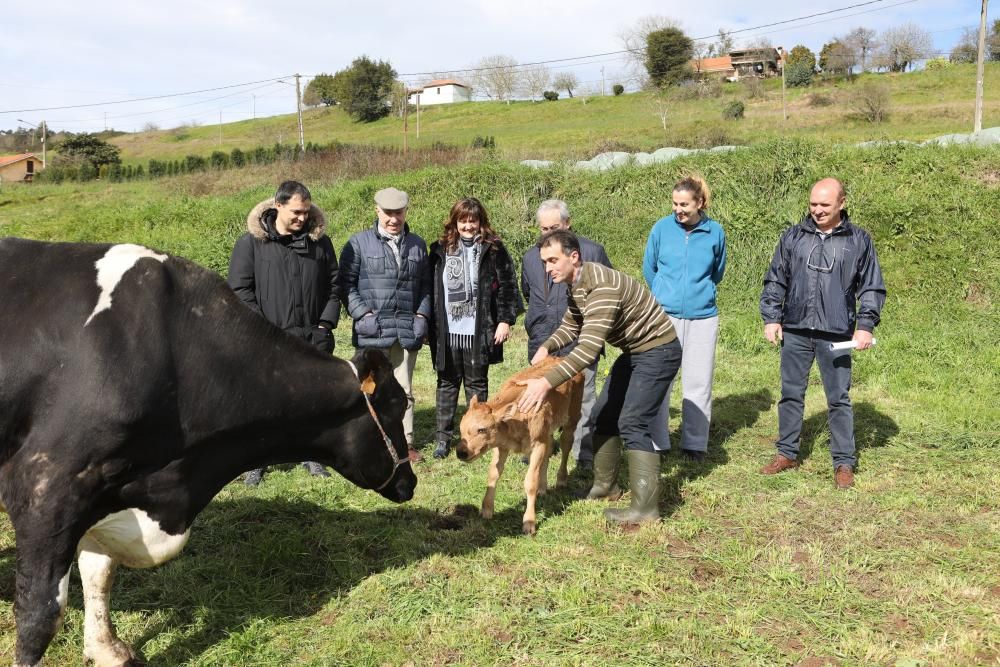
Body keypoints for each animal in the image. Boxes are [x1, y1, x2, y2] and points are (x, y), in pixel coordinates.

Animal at [0, 240, 416, 667]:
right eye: (397, 405)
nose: (410, 481)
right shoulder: (47, 484)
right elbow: (40, 614)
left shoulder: (104, 490)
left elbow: (99, 571)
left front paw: (107, 649)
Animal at [456, 358, 584, 536]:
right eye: (461, 428)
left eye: (482, 429)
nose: (461, 452)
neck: (516, 419)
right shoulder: (502, 447)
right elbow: (493, 474)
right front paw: (486, 510)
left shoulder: (537, 444)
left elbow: (530, 482)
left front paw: (529, 524)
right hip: (548, 432)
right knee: (549, 451)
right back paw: (543, 489)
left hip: (572, 419)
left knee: (566, 446)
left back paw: (561, 480)